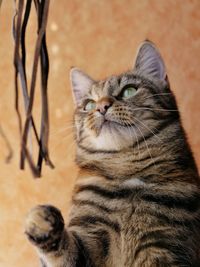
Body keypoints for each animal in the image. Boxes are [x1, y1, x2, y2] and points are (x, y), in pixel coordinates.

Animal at [25, 40, 200, 266]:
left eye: (129, 91)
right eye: (89, 104)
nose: (101, 106)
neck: (126, 170)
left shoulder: (166, 246)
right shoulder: (88, 239)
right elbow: (64, 251)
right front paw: (41, 221)